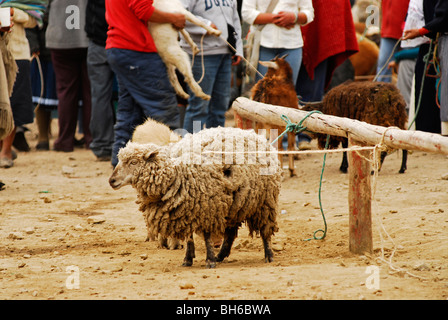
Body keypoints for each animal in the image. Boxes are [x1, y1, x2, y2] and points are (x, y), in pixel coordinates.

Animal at [109, 126, 282, 268]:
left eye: (133, 162)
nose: (111, 180)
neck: (178, 174)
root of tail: (254, 134)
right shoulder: (186, 210)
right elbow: (189, 238)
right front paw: (188, 259)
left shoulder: (206, 208)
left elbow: (206, 236)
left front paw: (209, 260)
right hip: (235, 205)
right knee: (231, 233)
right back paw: (221, 255)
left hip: (265, 202)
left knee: (265, 230)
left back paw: (268, 255)